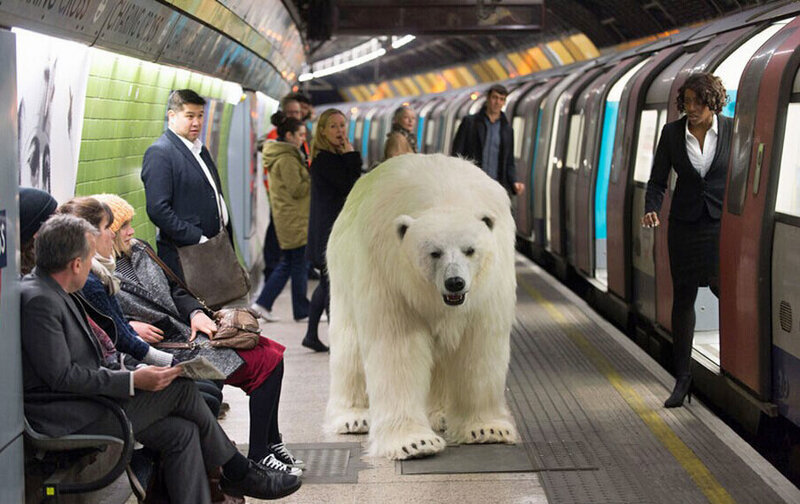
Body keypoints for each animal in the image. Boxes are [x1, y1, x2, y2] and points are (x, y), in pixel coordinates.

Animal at [324, 154, 520, 460]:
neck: (443, 196)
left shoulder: (488, 287)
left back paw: (440, 414)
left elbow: (479, 346)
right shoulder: (391, 277)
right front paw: (414, 443)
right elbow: (397, 349)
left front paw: (487, 429)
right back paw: (354, 418)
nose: (455, 283)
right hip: (343, 275)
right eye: (434, 252)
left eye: (470, 250)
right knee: (349, 349)